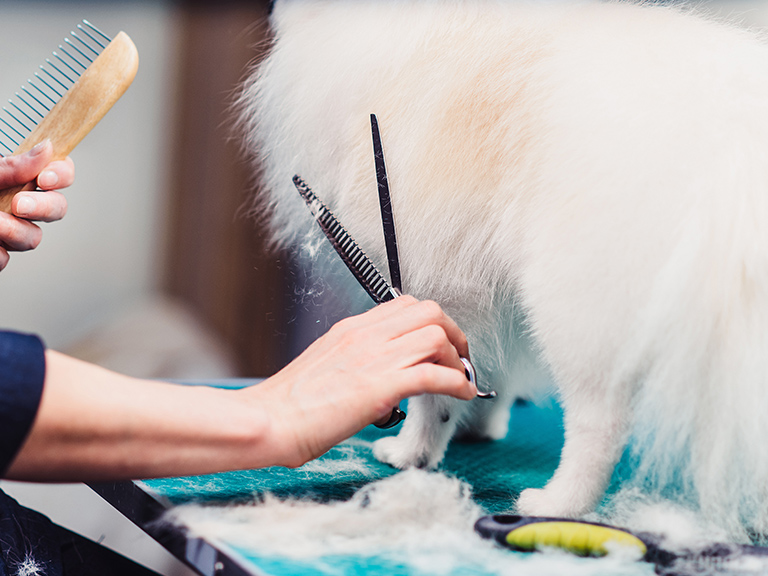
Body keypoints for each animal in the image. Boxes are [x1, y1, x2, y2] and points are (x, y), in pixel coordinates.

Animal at [240, 0, 768, 540]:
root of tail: (737, 165)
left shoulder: (436, 278)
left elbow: (432, 393)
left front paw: (412, 453)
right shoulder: (489, 294)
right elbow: (488, 371)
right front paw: (479, 424)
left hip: (571, 308)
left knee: (600, 425)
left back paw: (557, 501)